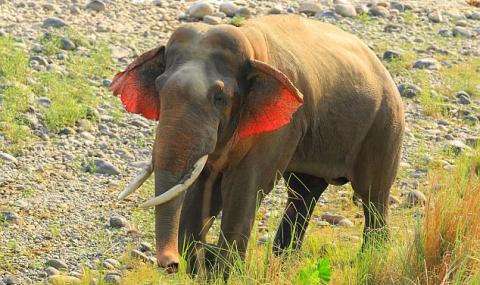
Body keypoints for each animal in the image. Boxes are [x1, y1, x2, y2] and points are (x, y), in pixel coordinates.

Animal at [109, 15, 404, 276]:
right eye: (159, 87)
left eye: (219, 97)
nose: (171, 265)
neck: (251, 44)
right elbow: (203, 187)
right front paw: (204, 267)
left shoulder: (282, 126)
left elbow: (243, 186)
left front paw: (220, 272)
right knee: (302, 193)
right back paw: (283, 264)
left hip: (384, 127)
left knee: (372, 194)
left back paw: (371, 260)